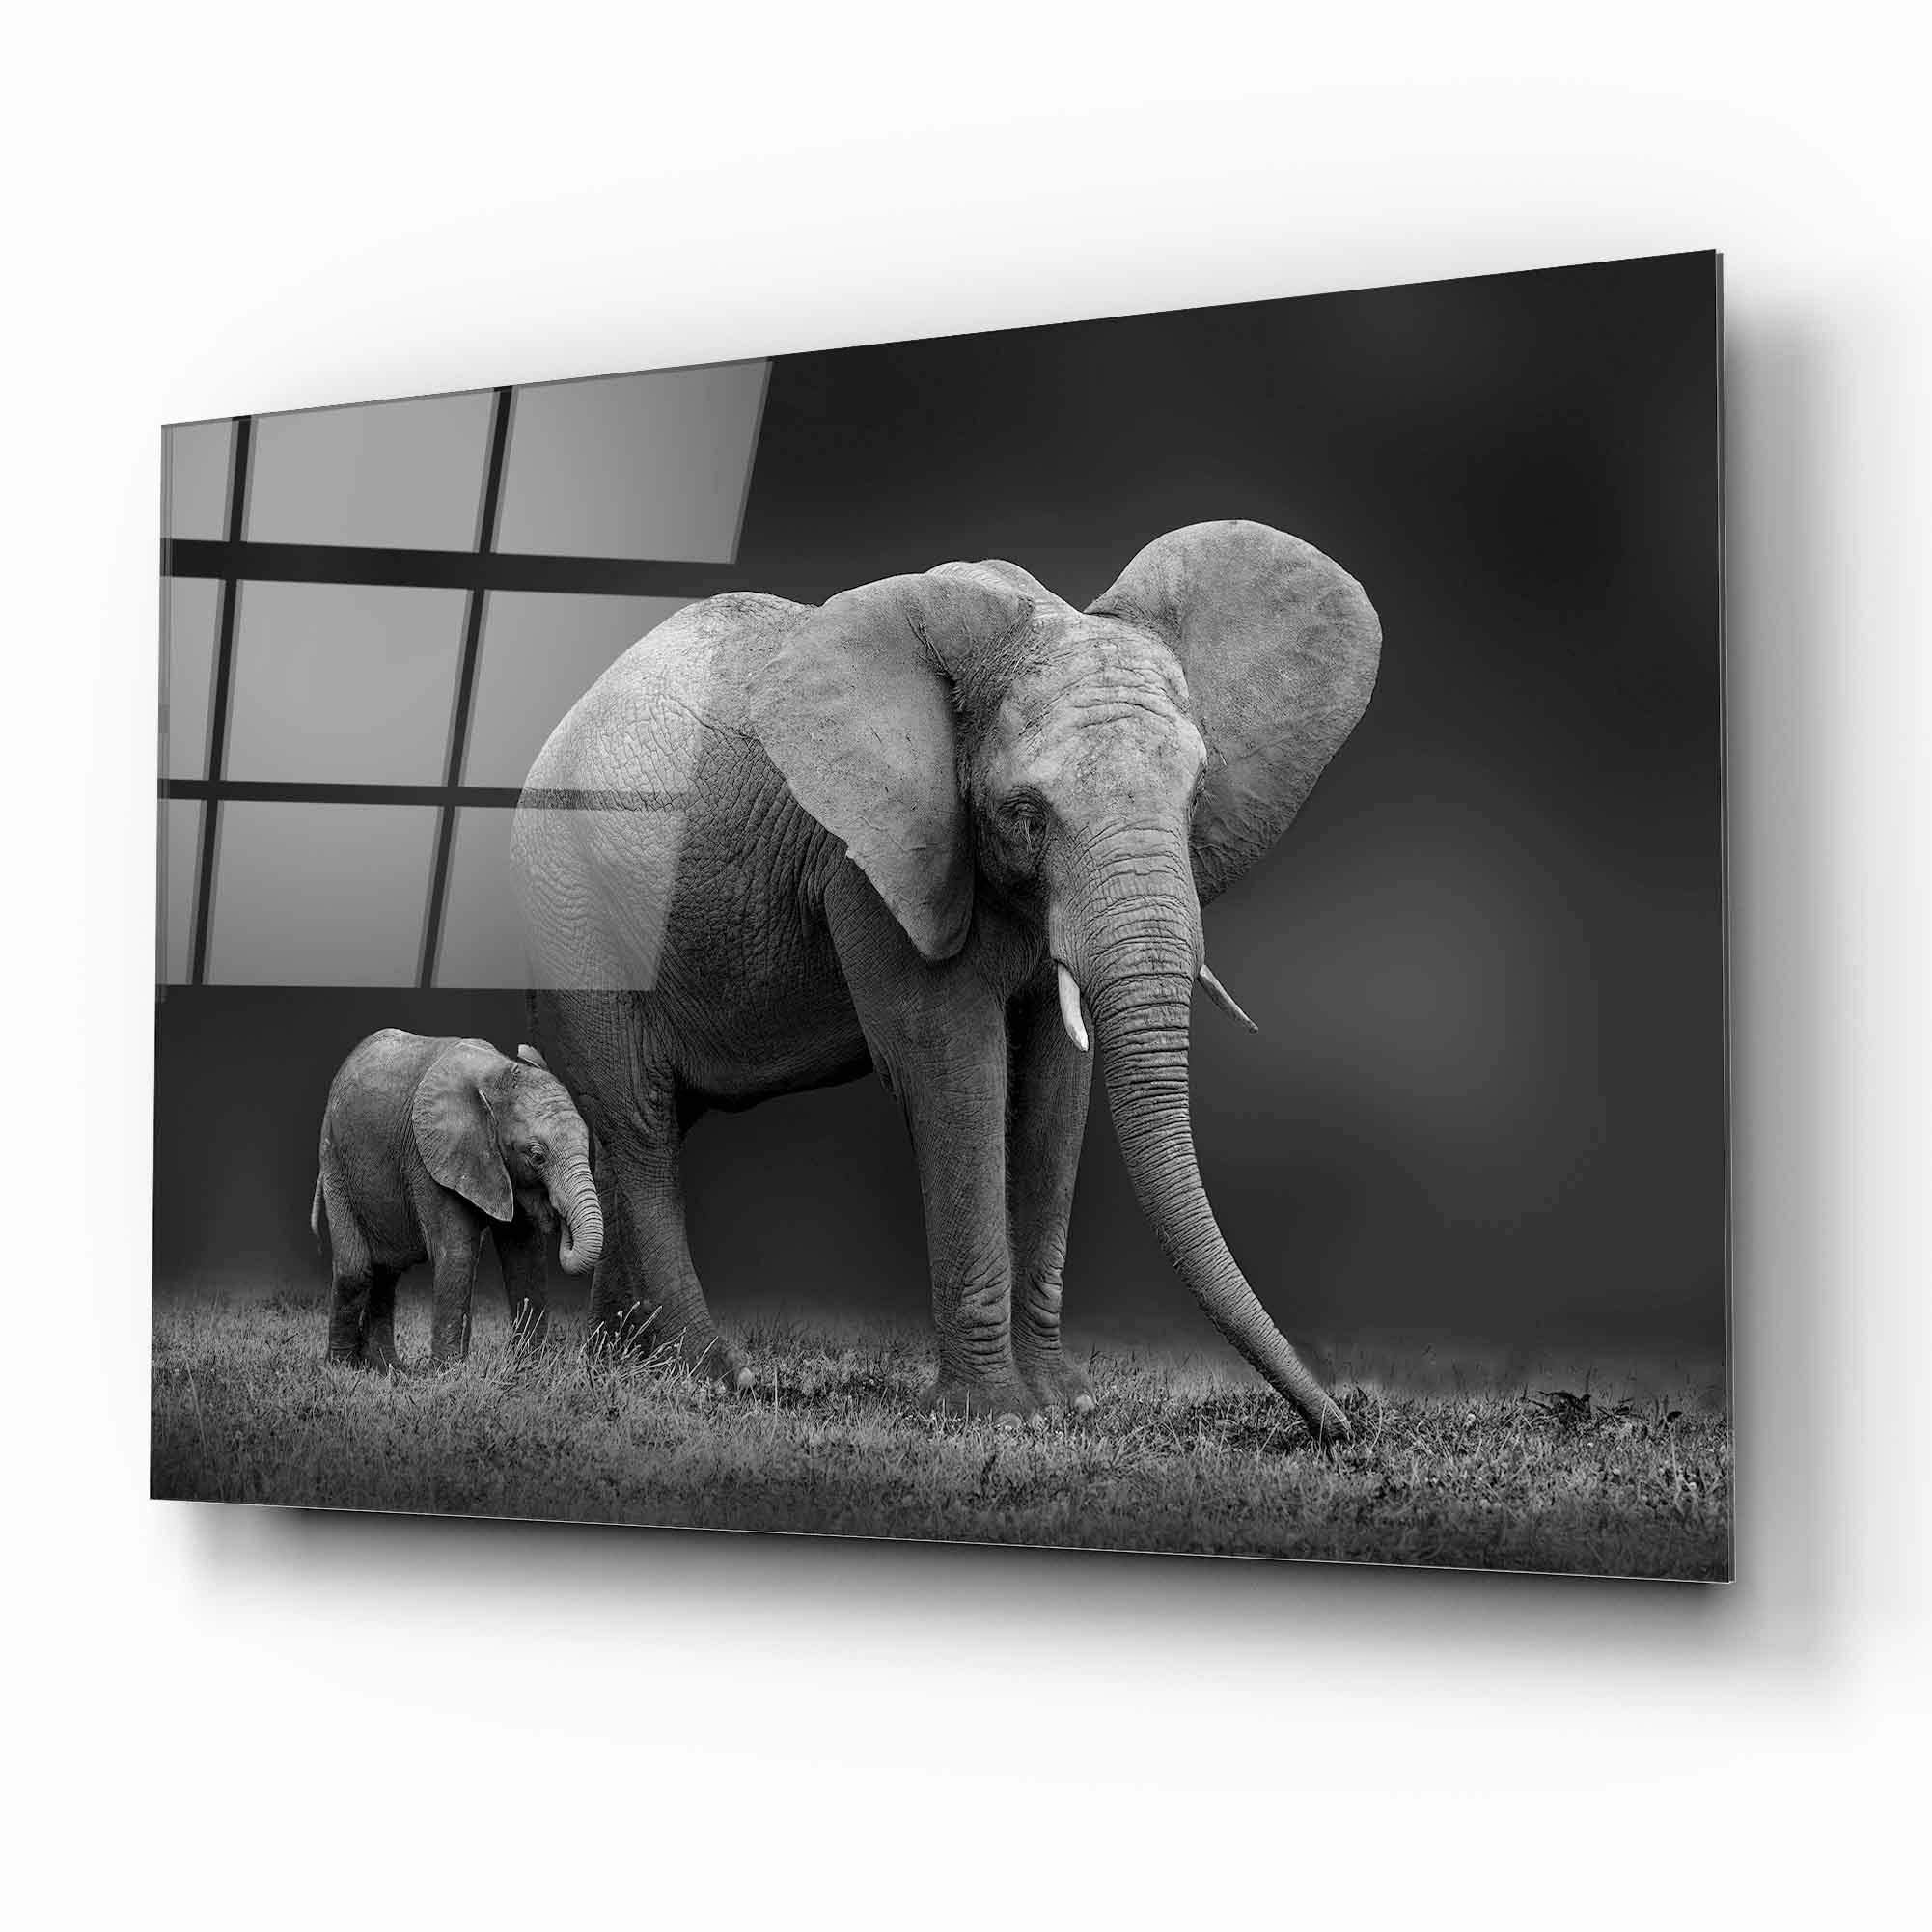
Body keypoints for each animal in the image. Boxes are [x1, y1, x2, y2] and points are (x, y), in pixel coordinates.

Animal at [311, 1031, 605, 1370]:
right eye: (537, 1156)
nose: (559, 1217)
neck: (498, 1074)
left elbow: (525, 1253)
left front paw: (531, 1366)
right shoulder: (430, 1157)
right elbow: (457, 1251)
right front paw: (448, 1371)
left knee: (386, 1271)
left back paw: (386, 1368)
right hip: (334, 1158)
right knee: (356, 1270)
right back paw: (342, 1367)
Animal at [511, 518, 1380, 1438]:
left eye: (1197, 794)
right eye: (1026, 816)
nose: (1343, 1429)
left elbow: (1056, 1082)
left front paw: (1066, 1405)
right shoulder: (867, 862)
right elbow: (953, 1066)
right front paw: (1000, 1418)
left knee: (641, 1126)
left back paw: (624, 1364)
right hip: (566, 908)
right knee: (640, 1125)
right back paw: (710, 1377)